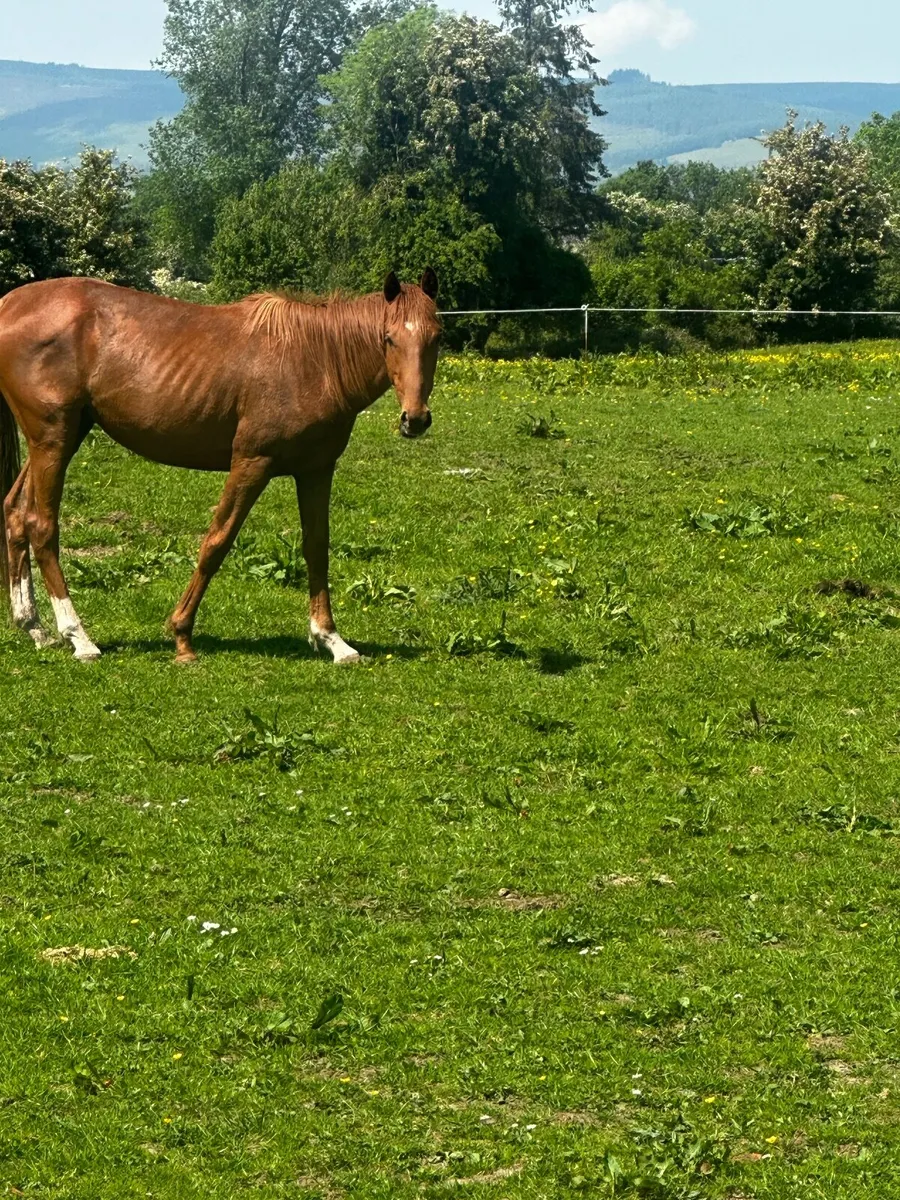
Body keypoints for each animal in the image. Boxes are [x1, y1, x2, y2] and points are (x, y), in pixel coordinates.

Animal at [0, 268, 441, 664]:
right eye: (389, 338)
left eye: (436, 338)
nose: (415, 419)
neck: (316, 359)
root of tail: (10, 305)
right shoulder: (252, 463)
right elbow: (217, 542)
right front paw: (182, 636)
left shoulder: (316, 470)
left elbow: (317, 547)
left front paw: (332, 640)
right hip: (53, 442)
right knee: (42, 526)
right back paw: (79, 637)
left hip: (61, 439)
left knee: (16, 514)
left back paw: (35, 628)